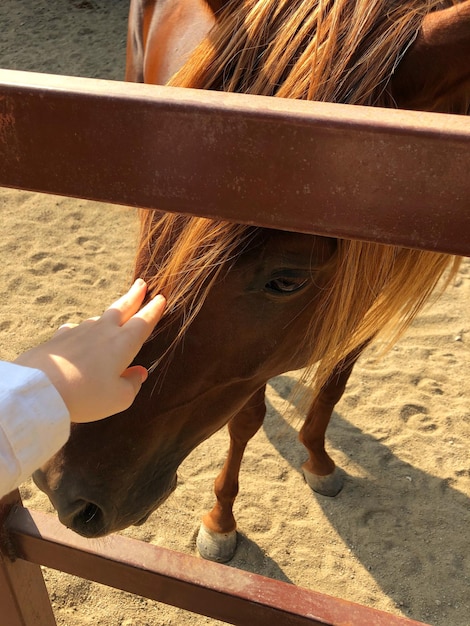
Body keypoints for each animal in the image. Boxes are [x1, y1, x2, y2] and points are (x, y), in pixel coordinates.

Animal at [34, 0, 470, 564]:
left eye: (288, 281)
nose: (60, 486)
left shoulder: (365, 301)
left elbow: (333, 386)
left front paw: (319, 460)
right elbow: (245, 419)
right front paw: (221, 521)